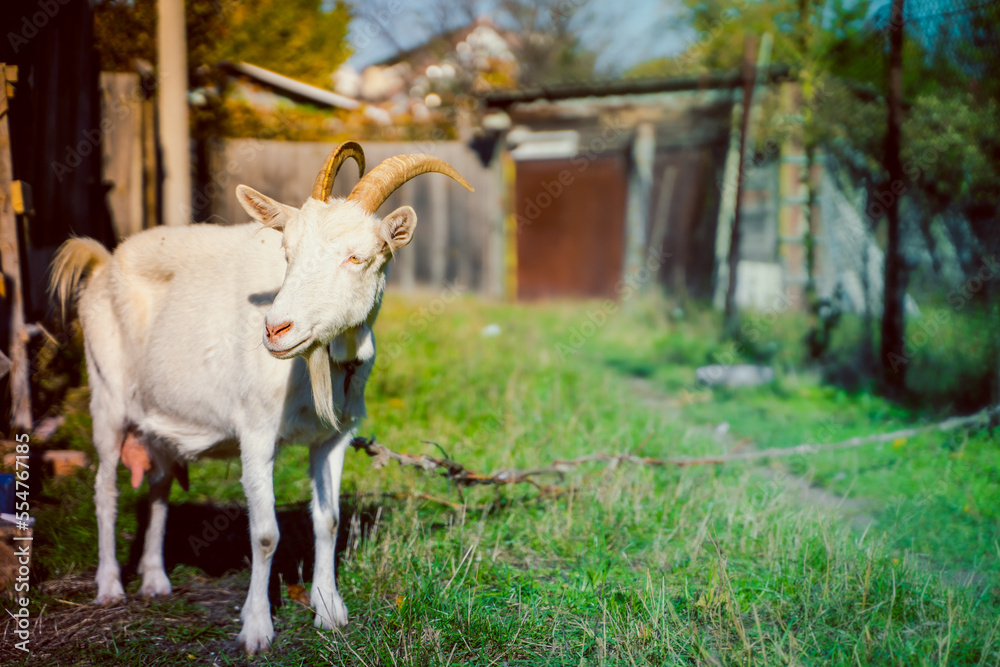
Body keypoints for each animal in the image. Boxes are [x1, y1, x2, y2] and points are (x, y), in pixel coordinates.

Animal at [49, 142, 472, 654]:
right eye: (287, 254)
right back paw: (110, 586)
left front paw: (329, 611)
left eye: (358, 257)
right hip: (107, 394)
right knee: (105, 486)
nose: (275, 329)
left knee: (159, 485)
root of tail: (102, 262)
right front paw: (256, 628)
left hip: (160, 416)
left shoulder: (333, 438)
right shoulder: (256, 432)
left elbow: (328, 521)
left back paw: (154, 580)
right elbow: (266, 533)